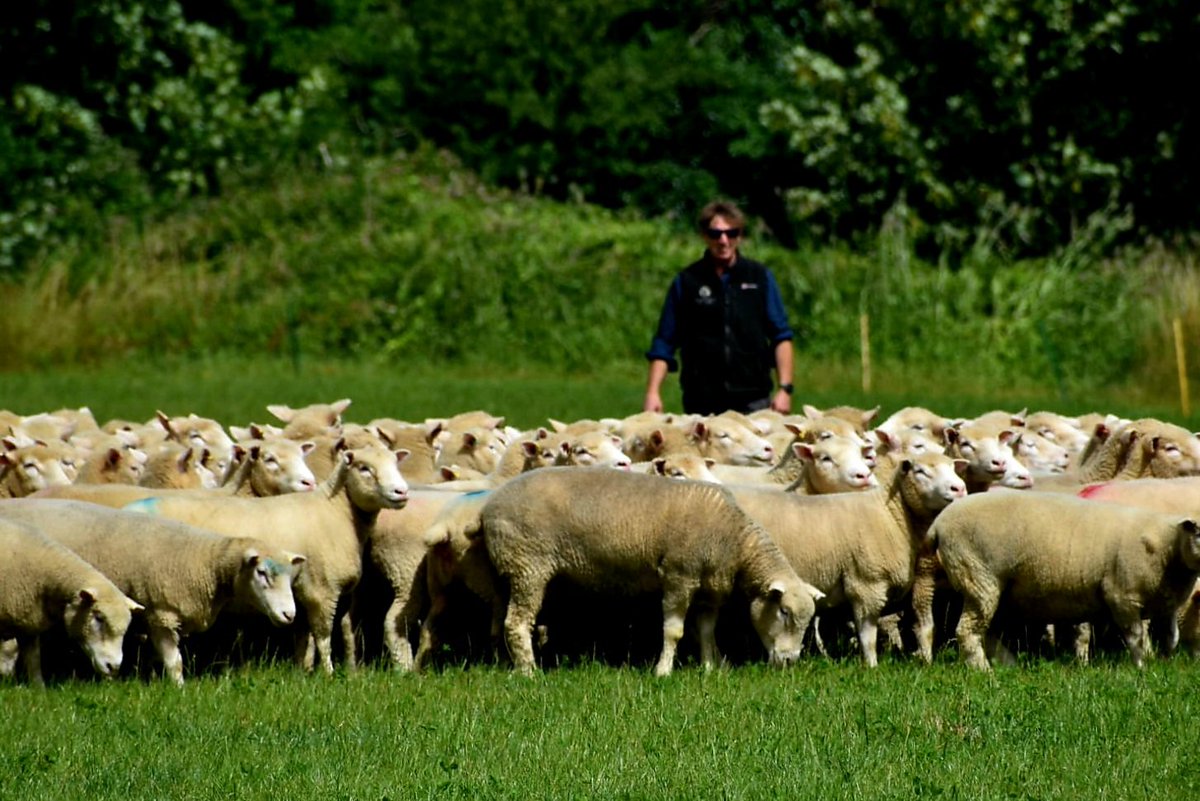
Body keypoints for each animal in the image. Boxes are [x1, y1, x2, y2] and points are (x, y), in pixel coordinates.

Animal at [120, 442, 409, 674]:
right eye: (364, 468)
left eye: (396, 463)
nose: (401, 491)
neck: (336, 510)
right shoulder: (321, 590)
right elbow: (324, 636)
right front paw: (327, 675)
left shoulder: (316, 592)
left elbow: (320, 635)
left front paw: (314, 671)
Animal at [478, 467, 822, 676]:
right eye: (785, 612)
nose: (789, 662)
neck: (734, 542)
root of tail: (489, 507)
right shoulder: (679, 576)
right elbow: (674, 630)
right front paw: (663, 671)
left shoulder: (710, 589)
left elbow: (707, 630)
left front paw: (711, 667)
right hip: (528, 566)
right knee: (516, 622)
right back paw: (528, 672)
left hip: (508, 572)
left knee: (499, 622)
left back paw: (507, 663)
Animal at [726, 451, 967, 666]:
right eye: (920, 471)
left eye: (954, 468)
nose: (960, 488)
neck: (892, 515)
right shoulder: (866, 584)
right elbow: (867, 635)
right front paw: (872, 666)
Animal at [929, 489, 1200, 670]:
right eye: (1198, 533)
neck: (1167, 544)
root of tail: (938, 524)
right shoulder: (1123, 597)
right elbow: (1136, 638)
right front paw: (1141, 668)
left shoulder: (1167, 603)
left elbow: (1172, 637)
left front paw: (1163, 664)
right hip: (979, 577)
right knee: (968, 630)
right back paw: (983, 670)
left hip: (995, 589)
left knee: (989, 631)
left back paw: (1008, 665)